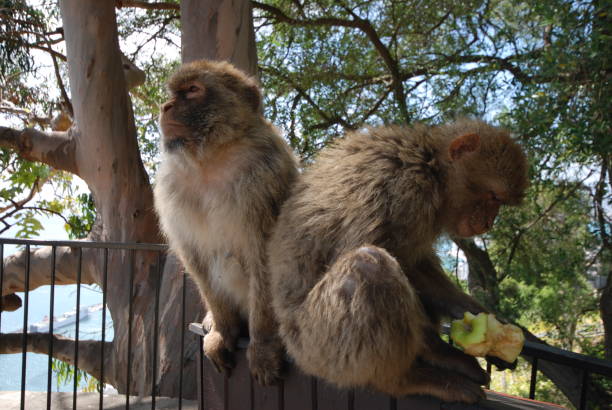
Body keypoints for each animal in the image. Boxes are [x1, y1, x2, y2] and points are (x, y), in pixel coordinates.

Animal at [152, 60, 296, 384]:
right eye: (173, 93)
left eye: (192, 90)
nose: (166, 106)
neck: (210, 158)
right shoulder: (171, 184)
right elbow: (195, 257)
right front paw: (222, 331)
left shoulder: (267, 172)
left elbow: (267, 252)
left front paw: (264, 345)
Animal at [268, 119, 532, 404]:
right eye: (493, 197)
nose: (488, 223)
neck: (431, 166)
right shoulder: (401, 190)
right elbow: (368, 249)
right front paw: (443, 352)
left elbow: (416, 265)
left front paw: (484, 319)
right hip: (318, 346)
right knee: (368, 264)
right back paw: (406, 379)